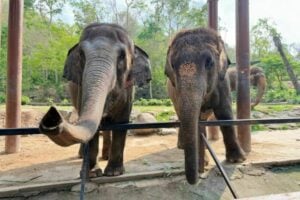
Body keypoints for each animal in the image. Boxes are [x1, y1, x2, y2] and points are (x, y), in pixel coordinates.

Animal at [39, 22, 151, 177]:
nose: (52, 118)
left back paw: (105, 157)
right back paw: (83, 156)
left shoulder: (128, 90)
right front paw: (91, 174)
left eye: (122, 56)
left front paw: (114, 173)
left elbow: (121, 123)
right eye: (81, 54)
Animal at [164, 27, 246, 185]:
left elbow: (225, 113)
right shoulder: (176, 91)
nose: (196, 177)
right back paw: (182, 146)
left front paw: (237, 160)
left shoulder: (222, 82)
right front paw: (204, 162)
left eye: (209, 63)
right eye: (172, 66)